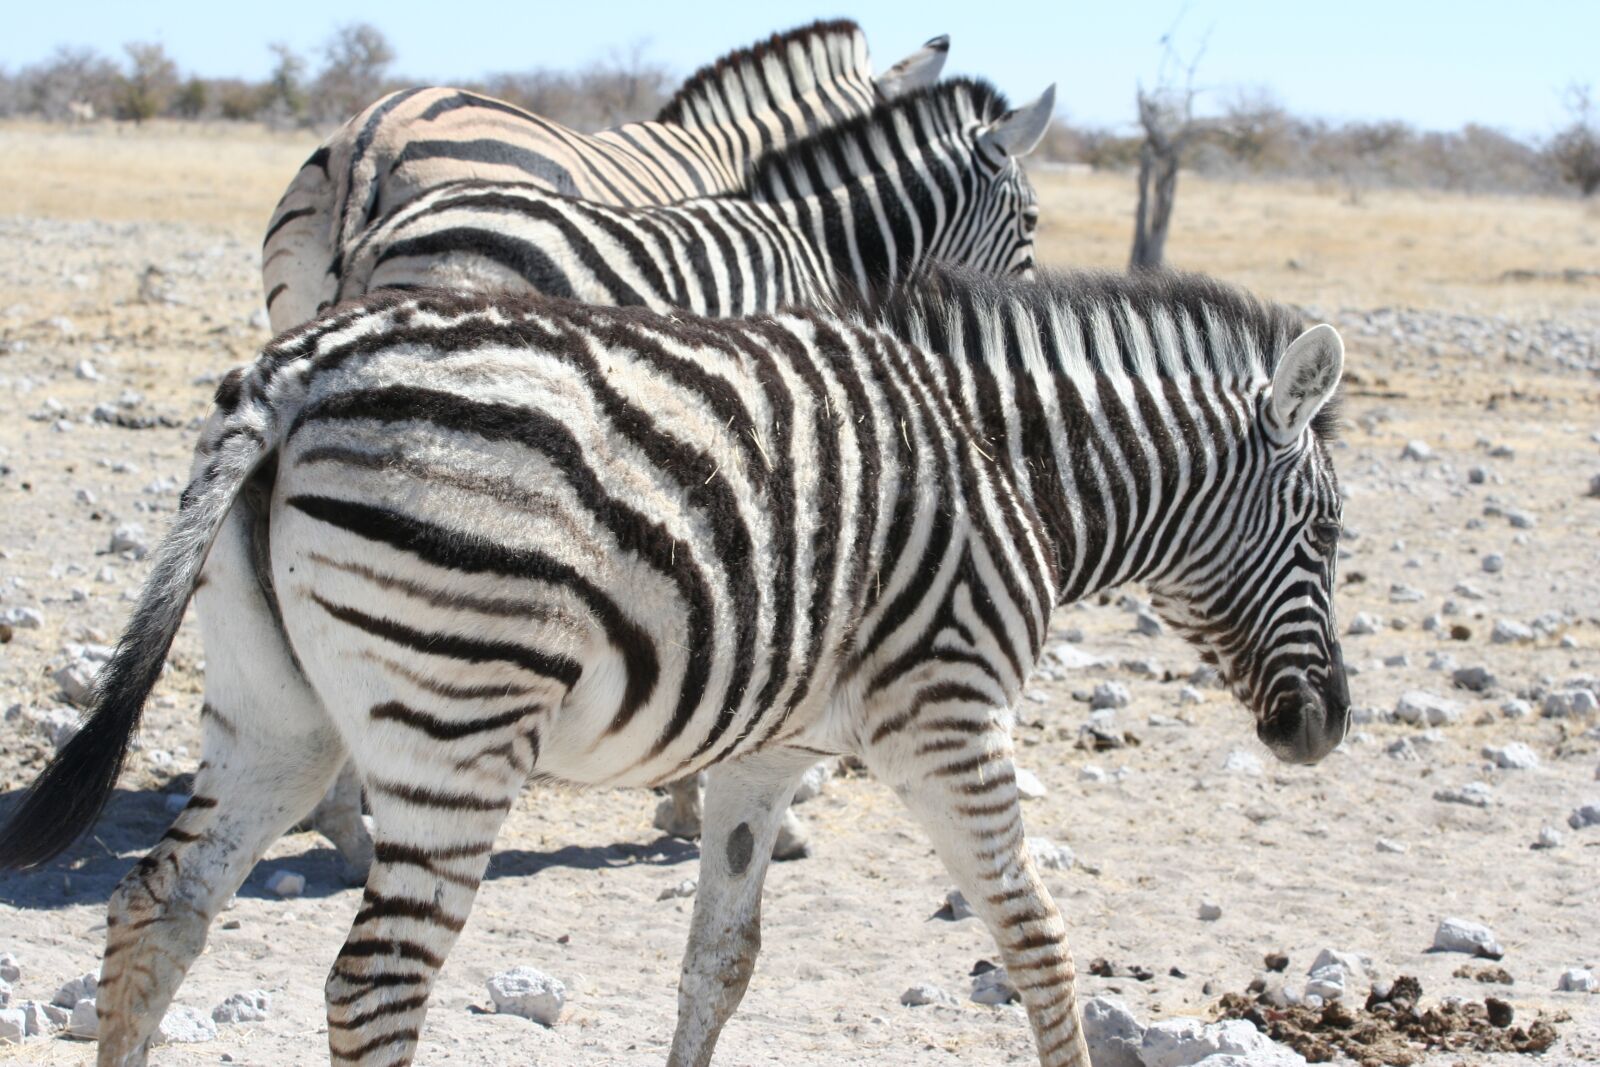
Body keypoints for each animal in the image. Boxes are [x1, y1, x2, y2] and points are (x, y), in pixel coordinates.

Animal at [0, 265, 1351, 1066]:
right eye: (1330, 532)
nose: (1325, 729)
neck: (1005, 457)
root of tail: (294, 371)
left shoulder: (768, 754)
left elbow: (719, 961)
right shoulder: (949, 717)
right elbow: (1038, 944)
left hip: (276, 712)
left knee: (158, 908)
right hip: (456, 720)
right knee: (372, 983)